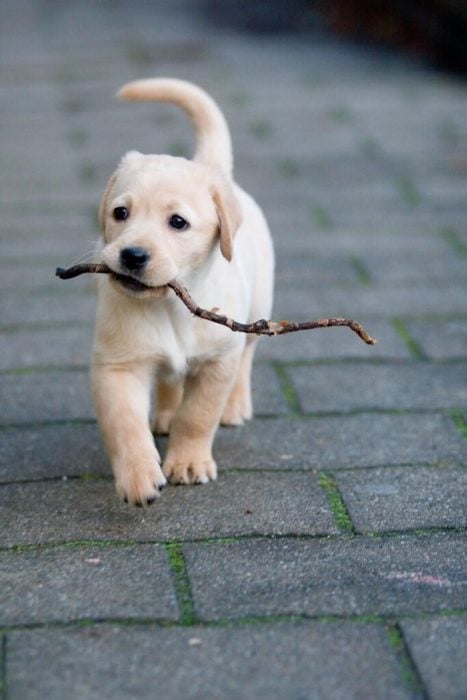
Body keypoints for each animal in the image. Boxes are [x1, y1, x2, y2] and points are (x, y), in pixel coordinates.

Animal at [91, 79, 274, 506]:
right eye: (120, 213)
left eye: (178, 222)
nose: (132, 255)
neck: (170, 305)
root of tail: (214, 169)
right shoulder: (118, 364)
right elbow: (125, 423)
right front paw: (139, 475)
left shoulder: (218, 360)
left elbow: (198, 415)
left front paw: (189, 462)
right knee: (170, 380)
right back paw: (164, 415)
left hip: (257, 309)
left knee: (247, 355)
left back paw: (235, 405)